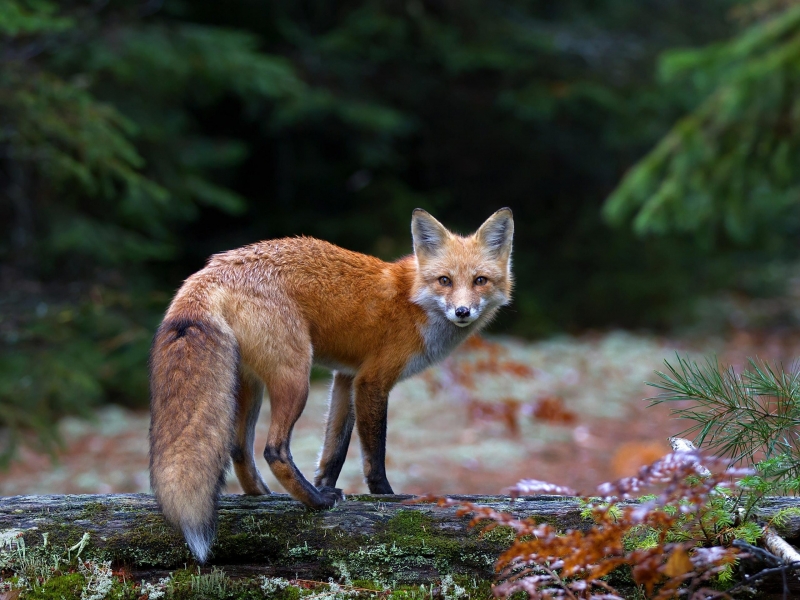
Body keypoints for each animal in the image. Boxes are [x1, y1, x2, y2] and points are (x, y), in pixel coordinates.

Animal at [148, 207, 512, 564]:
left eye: (480, 281)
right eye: (444, 280)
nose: (462, 311)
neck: (412, 301)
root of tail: (211, 269)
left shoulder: (346, 378)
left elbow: (333, 450)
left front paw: (324, 484)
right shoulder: (371, 381)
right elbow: (374, 456)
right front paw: (386, 498)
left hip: (251, 385)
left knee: (239, 449)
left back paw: (269, 497)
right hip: (296, 377)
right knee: (273, 450)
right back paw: (315, 503)